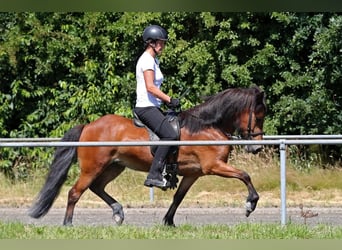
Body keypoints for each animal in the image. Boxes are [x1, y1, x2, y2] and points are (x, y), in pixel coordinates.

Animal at [28, 85, 268, 227]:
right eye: (258, 115)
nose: (257, 148)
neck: (207, 127)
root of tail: (88, 126)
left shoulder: (194, 173)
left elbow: (178, 197)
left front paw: (168, 222)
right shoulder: (214, 166)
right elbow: (245, 175)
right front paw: (250, 204)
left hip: (114, 166)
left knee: (97, 187)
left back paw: (118, 212)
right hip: (92, 167)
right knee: (75, 192)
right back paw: (68, 224)